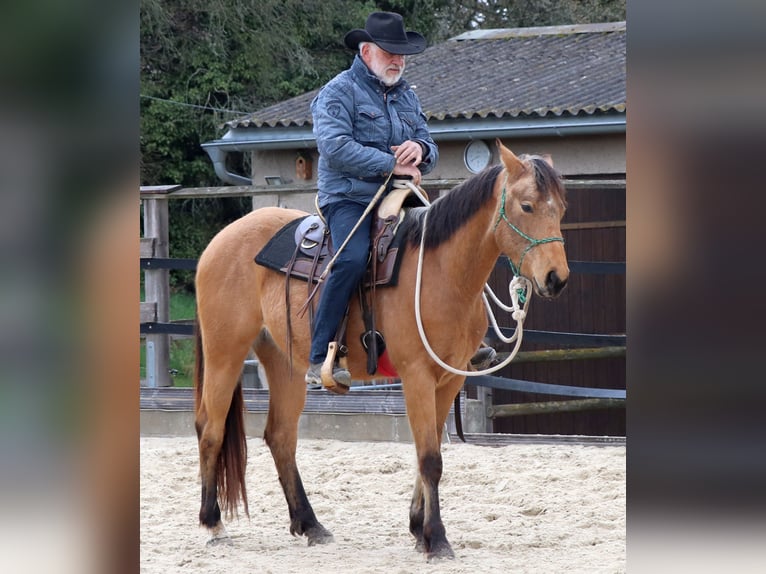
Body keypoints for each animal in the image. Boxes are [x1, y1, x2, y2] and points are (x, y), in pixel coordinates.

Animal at [193, 139, 569, 561]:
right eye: (527, 206)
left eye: (561, 207)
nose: (556, 278)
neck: (442, 271)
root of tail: (220, 241)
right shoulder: (417, 376)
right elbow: (429, 458)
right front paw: (437, 539)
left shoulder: (450, 378)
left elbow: (428, 451)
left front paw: (418, 528)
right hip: (225, 352)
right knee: (211, 429)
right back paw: (214, 524)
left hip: (284, 363)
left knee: (280, 437)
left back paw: (310, 524)